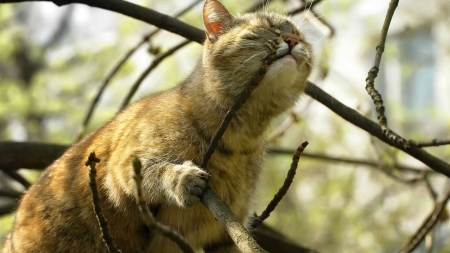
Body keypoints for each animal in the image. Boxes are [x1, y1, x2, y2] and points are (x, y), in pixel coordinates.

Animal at [2, 0, 312, 252]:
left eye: (300, 36)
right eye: (267, 28)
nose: (292, 40)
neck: (241, 134)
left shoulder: (223, 237)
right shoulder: (119, 169)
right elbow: (156, 172)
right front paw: (182, 178)